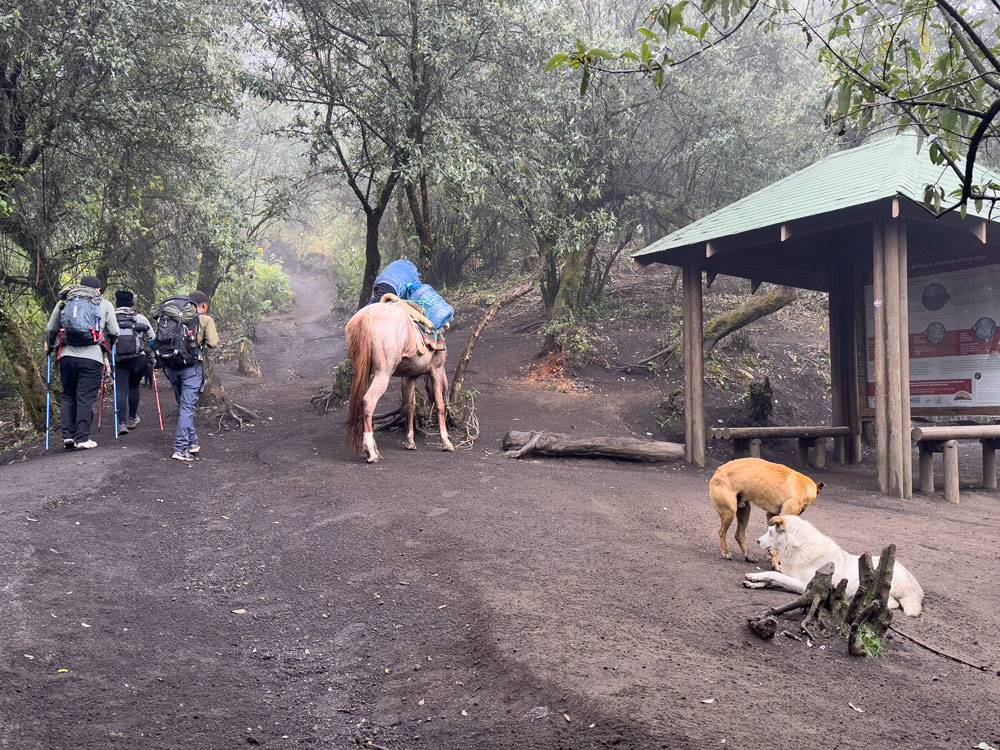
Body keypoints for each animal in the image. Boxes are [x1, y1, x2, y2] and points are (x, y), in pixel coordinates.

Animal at [344, 302, 454, 462]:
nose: (446, 389)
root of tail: (365, 317)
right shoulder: (437, 369)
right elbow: (440, 406)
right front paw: (446, 442)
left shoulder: (410, 376)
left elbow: (410, 406)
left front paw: (410, 442)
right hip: (383, 373)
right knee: (368, 401)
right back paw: (370, 451)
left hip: (362, 368)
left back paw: (374, 449)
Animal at [744, 516, 920, 616]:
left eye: (770, 532)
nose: (757, 541)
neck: (799, 548)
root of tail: (916, 585)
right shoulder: (791, 578)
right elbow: (774, 579)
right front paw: (755, 583)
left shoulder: (803, 585)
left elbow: (773, 575)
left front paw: (755, 577)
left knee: (891, 604)